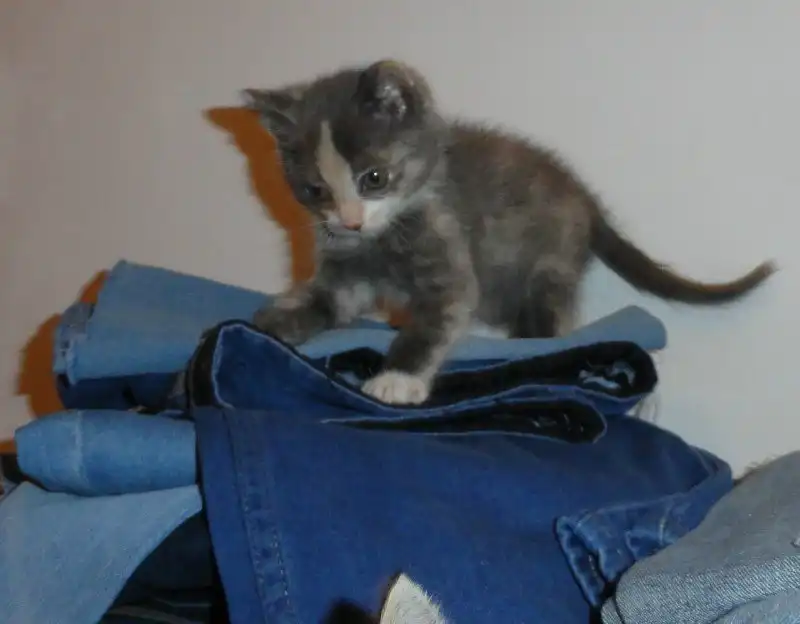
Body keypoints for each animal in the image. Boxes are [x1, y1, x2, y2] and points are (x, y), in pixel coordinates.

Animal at [241, 59, 776, 406]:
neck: (385, 234)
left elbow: (438, 317)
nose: (350, 221)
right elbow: (324, 301)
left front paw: (399, 378)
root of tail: (585, 198)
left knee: (549, 319)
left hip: (547, 264)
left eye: (374, 178)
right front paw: (273, 324)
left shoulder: (448, 259)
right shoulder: (345, 271)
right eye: (315, 190)